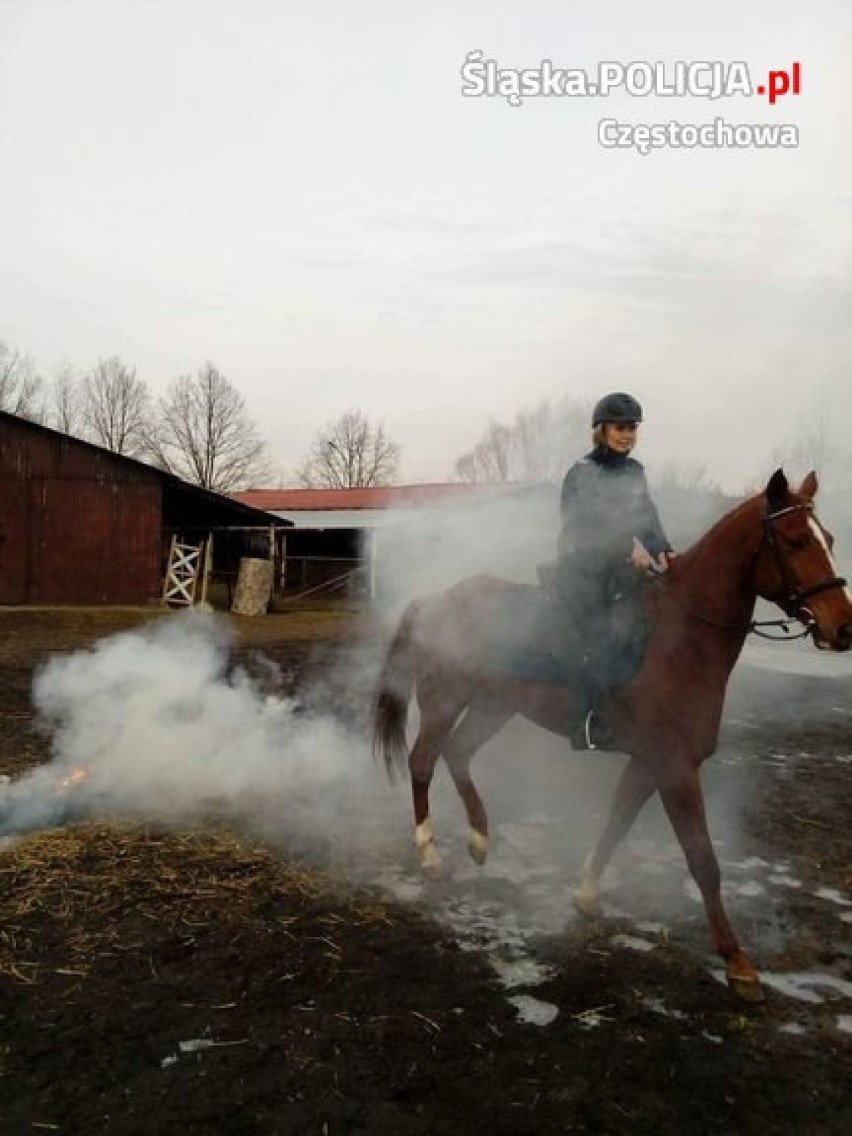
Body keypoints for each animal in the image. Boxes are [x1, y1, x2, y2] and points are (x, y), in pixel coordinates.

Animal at [372, 470, 852, 1004]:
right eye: (795, 540)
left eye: (830, 539)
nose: (843, 627)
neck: (680, 637)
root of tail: (435, 600)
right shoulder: (675, 767)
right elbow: (703, 859)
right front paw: (737, 962)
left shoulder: (647, 762)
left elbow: (618, 820)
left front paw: (585, 892)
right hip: (444, 702)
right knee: (423, 761)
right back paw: (430, 853)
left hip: (495, 706)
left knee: (458, 755)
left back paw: (480, 839)